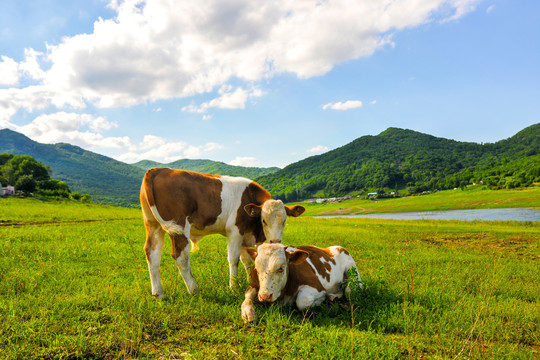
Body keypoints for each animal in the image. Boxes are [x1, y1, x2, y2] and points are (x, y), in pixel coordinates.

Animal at [139, 169, 306, 298]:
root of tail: (157, 170)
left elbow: (247, 261)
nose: (275, 241)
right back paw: (194, 290)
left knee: (152, 254)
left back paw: (158, 293)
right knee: (181, 257)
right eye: (263, 220)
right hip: (179, 227)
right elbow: (234, 260)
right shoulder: (235, 232)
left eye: (284, 220)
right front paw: (234, 286)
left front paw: (250, 279)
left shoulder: (244, 236)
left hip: (153, 225)